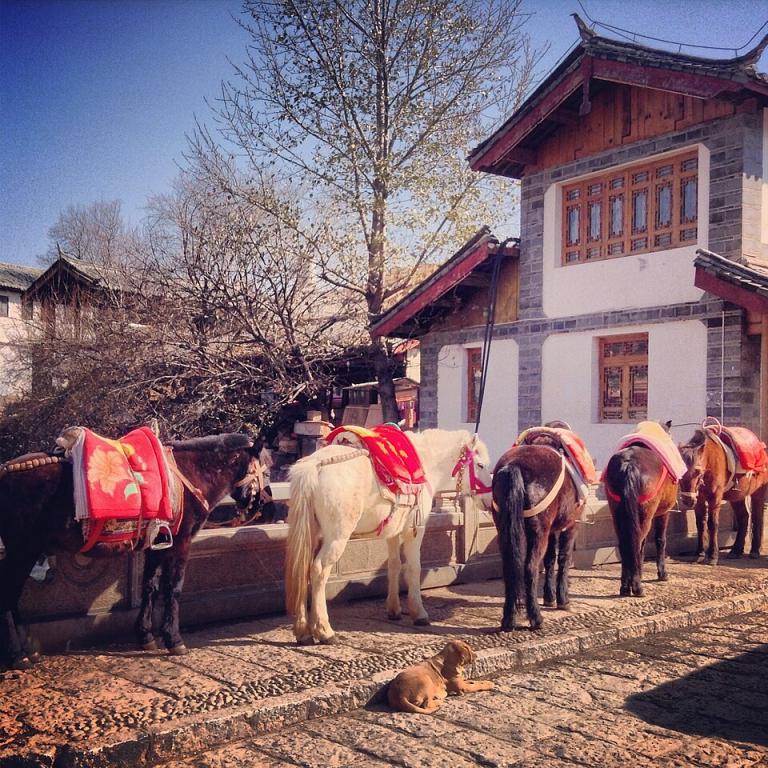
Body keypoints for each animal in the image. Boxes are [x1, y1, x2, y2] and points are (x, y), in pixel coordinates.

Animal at [0, 432, 267, 670]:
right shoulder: (181, 542)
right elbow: (174, 589)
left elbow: (149, 585)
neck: (191, 474)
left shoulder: (158, 543)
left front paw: (145, 635)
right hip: (24, 549)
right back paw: (17, 655)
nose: (265, 501)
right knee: (9, 596)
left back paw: (28, 651)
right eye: (265, 471)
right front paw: (174, 639)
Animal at [284, 428, 492, 645]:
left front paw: (394, 609)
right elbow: (414, 567)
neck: (426, 463)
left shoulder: (393, 532)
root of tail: (313, 465)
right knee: (318, 571)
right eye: (480, 465)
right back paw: (324, 630)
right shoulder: (415, 530)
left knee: (302, 569)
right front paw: (419, 613)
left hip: (310, 532)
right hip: (336, 536)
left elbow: (394, 565)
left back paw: (303, 631)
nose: (489, 498)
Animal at [491, 424, 592, 631]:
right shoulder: (571, 526)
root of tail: (515, 465)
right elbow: (563, 558)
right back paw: (536, 618)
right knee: (530, 567)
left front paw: (549, 596)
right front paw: (562, 599)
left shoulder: (552, 530)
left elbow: (550, 559)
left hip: (505, 529)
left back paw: (508, 619)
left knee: (510, 566)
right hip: (539, 532)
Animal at [603, 437, 679, 597]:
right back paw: (637, 586)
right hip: (645, 515)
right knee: (636, 543)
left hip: (618, 515)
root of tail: (629, 464)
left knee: (626, 544)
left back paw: (626, 586)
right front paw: (662, 573)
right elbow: (660, 540)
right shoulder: (664, 512)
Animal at [679, 427, 767, 564]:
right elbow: (701, 524)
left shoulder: (715, 498)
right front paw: (699, 553)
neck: (710, 461)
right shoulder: (699, 500)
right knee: (744, 517)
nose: (688, 500)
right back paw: (736, 551)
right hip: (737, 496)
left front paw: (713, 556)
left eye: (697, 472)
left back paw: (754, 551)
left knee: (757, 517)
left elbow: (712, 524)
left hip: (758, 493)